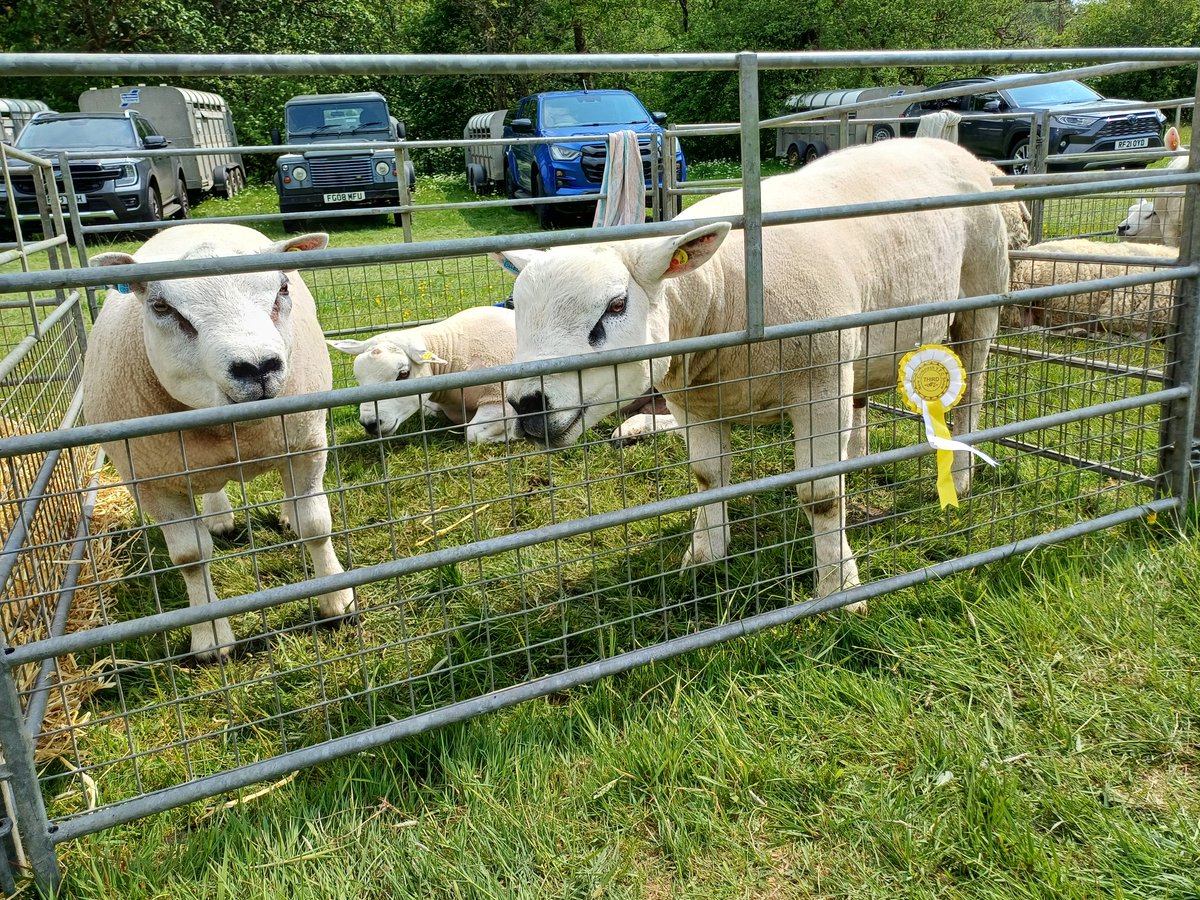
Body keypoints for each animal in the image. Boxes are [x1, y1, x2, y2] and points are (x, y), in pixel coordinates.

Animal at [84, 223, 355, 662]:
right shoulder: (151, 480)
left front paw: (336, 600)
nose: (257, 367)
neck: (231, 432)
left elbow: (315, 525)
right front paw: (210, 637)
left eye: (282, 288)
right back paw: (218, 517)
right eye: (161, 307)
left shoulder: (307, 444)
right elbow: (190, 557)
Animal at [329, 305, 519, 444]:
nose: (370, 423)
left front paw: (512, 434)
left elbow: (472, 433)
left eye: (403, 374)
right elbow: (428, 410)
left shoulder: (498, 399)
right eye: (359, 379)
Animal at [494, 137, 1009, 606]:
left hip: (980, 299)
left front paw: (840, 588)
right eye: (517, 310)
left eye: (617, 305)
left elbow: (821, 496)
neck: (719, 292)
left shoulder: (820, 385)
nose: (527, 404)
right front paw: (703, 556)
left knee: (973, 392)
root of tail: (949, 145)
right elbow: (706, 479)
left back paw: (962, 477)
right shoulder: (694, 402)